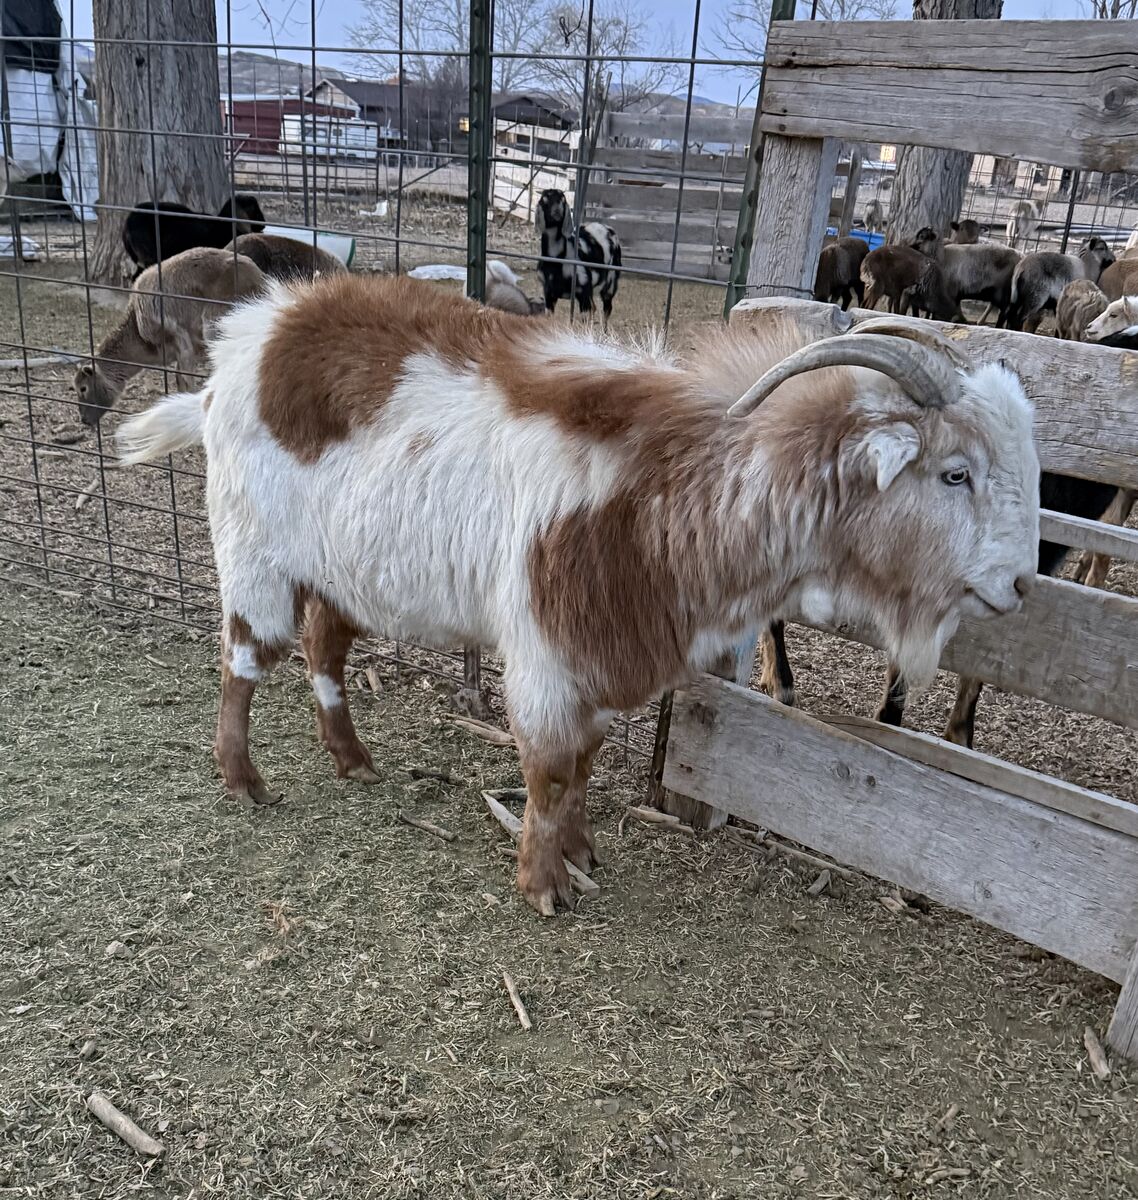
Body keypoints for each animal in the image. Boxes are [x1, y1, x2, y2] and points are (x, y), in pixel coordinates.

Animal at [114, 280, 1040, 915]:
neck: (670, 487)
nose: (1020, 584)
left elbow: (588, 762)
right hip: (254, 554)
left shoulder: (602, 648)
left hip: (347, 569)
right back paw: (243, 778)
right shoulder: (548, 649)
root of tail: (240, 349)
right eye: (956, 474)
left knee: (324, 651)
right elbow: (550, 767)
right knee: (244, 659)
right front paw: (542, 884)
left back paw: (352, 757)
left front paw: (584, 853)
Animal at [534, 189, 620, 323]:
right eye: (545, 199)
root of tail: (607, 227)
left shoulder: (583, 292)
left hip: (610, 282)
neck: (556, 261)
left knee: (607, 309)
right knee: (595, 308)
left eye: (563, 200)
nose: (557, 211)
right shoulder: (549, 295)